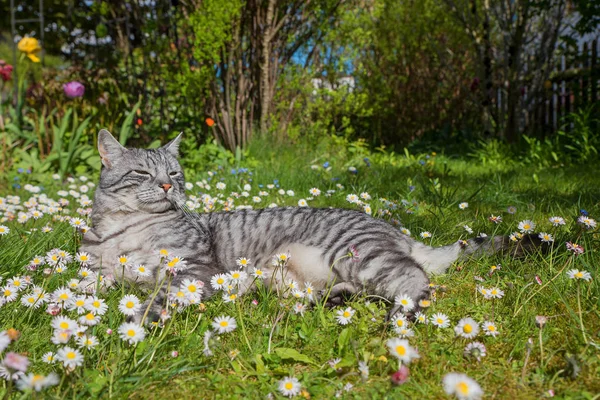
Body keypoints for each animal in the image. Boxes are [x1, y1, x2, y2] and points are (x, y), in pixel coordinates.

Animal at [79, 131, 544, 324]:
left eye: (174, 174)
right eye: (142, 173)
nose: (166, 186)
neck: (124, 229)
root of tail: (394, 230)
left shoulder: (194, 268)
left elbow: (159, 296)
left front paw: (138, 318)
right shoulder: (96, 269)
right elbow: (87, 284)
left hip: (357, 254)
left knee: (414, 278)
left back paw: (398, 318)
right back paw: (336, 299)